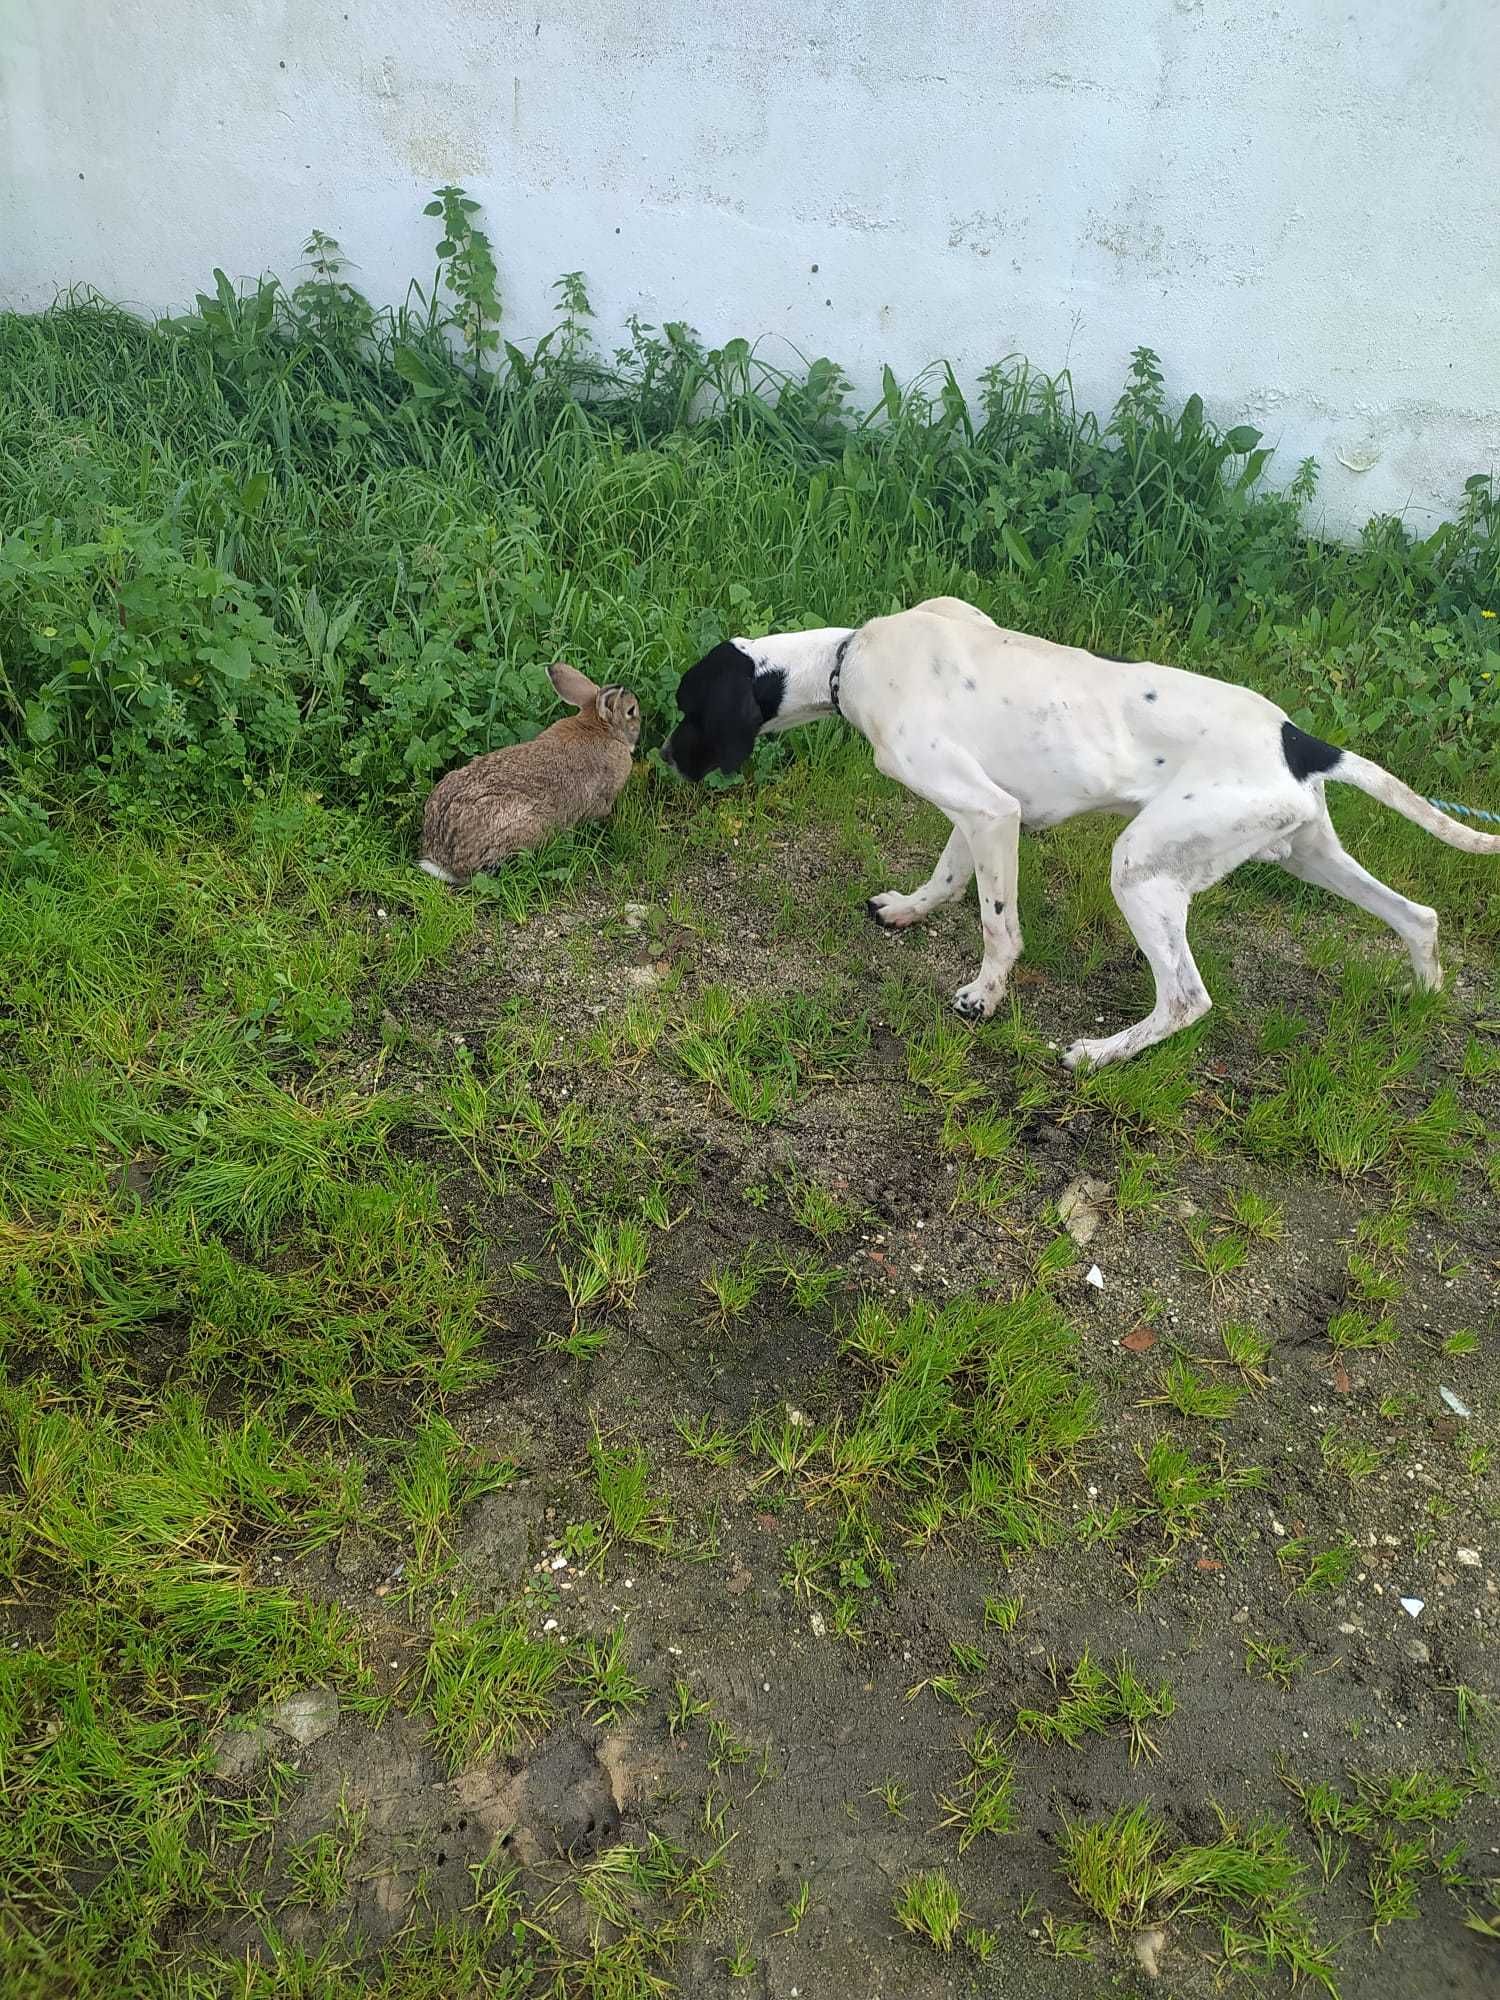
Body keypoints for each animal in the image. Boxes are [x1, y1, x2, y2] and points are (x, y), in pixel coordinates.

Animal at [668, 592, 1500, 1064]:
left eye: (687, 708)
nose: (667, 758)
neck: (849, 658)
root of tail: (1299, 738)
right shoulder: (981, 807)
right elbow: (947, 876)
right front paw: (908, 910)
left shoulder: (988, 810)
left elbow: (998, 926)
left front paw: (985, 996)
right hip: (1305, 853)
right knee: (1418, 917)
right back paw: (1421, 1000)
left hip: (1141, 865)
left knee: (1186, 999)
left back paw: (1100, 1055)